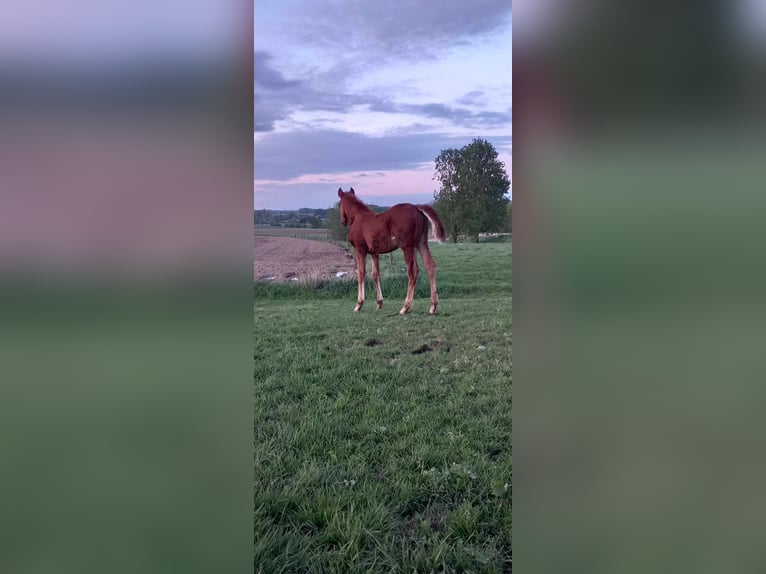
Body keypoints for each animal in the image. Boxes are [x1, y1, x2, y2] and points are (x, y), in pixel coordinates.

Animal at [338, 188, 450, 316]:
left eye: (339, 204)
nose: (343, 221)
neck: (357, 217)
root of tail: (417, 207)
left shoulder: (360, 249)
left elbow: (361, 274)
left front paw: (359, 305)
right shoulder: (374, 253)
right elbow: (375, 274)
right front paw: (379, 303)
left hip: (407, 246)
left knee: (413, 271)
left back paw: (405, 307)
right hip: (421, 243)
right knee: (430, 266)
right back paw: (433, 306)